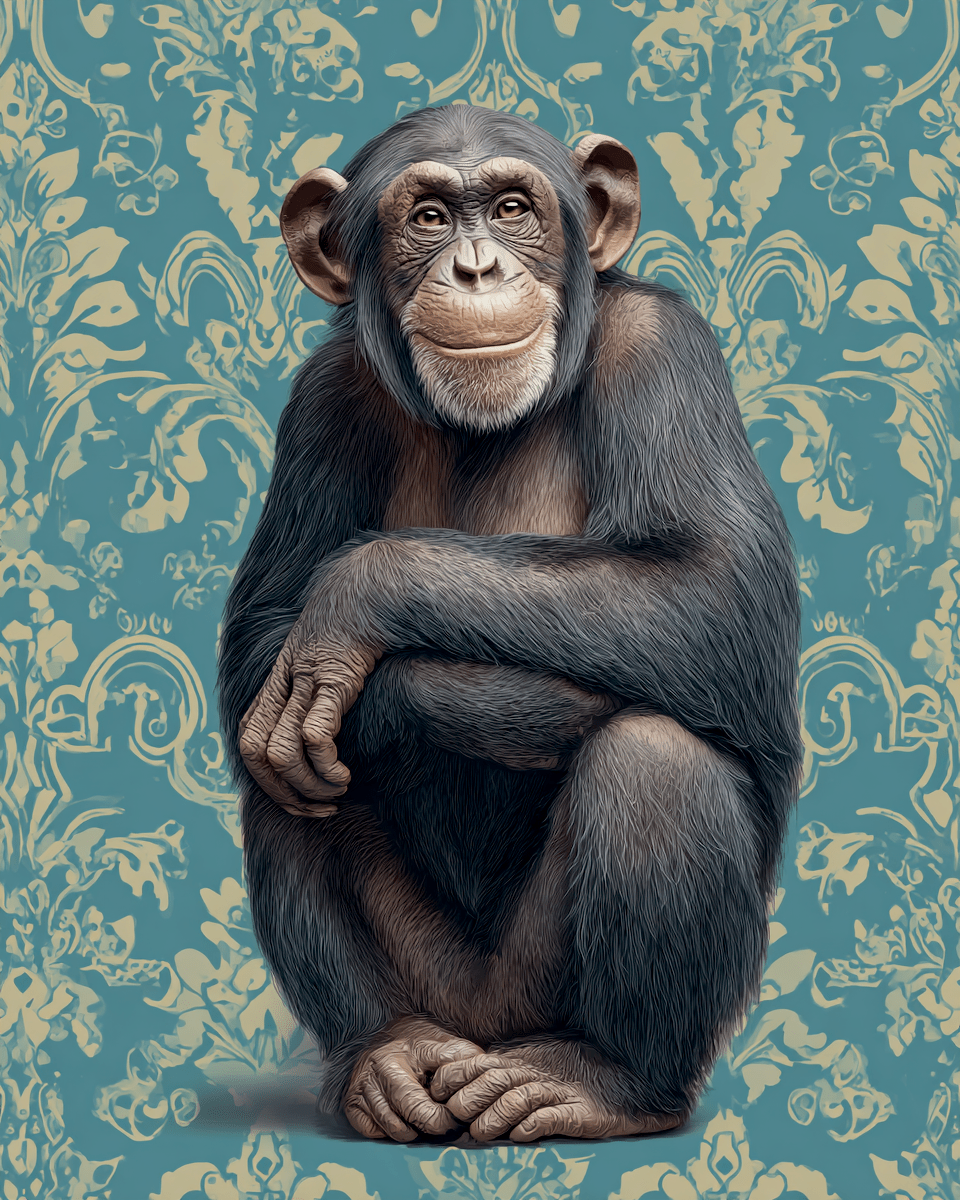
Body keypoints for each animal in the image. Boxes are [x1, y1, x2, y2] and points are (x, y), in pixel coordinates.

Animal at [217, 104, 802, 1144]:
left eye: (513, 208)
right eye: (429, 217)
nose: (478, 267)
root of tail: (482, 1035)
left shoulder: (665, 351)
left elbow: (713, 589)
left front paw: (358, 601)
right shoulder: (324, 397)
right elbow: (260, 635)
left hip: (535, 992)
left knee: (654, 757)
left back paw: (610, 1080)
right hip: (444, 989)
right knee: (275, 764)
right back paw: (381, 1053)